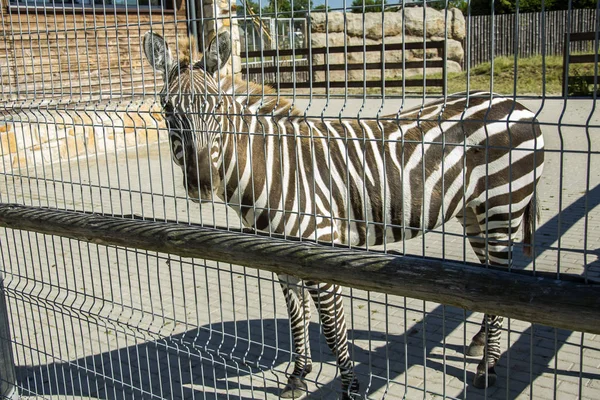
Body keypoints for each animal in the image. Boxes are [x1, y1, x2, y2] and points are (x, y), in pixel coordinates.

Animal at [144, 30, 544, 396]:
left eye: (217, 107)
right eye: (168, 109)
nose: (201, 184)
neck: (273, 166)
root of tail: (513, 102)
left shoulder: (320, 251)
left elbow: (333, 330)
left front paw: (351, 388)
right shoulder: (280, 256)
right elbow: (297, 319)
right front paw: (297, 377)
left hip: (501, 209)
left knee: (502, 282)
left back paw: (488, 369)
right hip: (474, 213)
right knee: (490, 284)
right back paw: (480, 345)